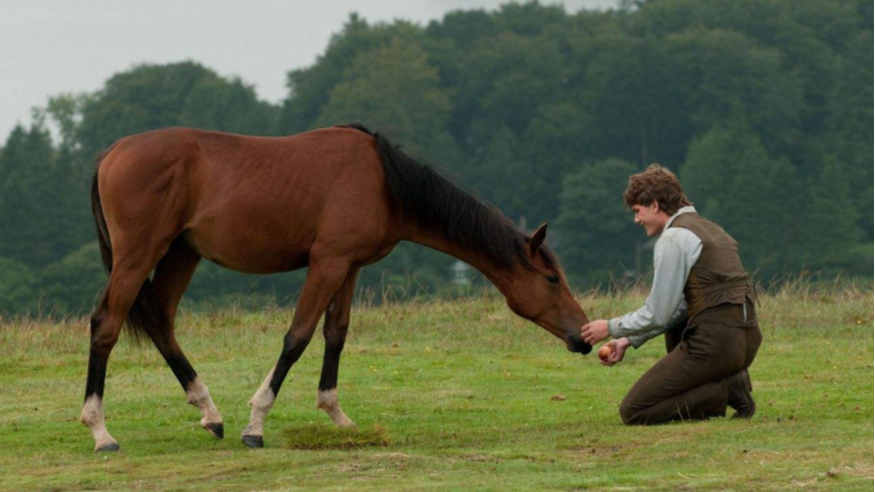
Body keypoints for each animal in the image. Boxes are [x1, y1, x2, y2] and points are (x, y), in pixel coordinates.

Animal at [82, 124, 592, 454]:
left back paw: (209, 412)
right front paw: (257, 423)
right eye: (552, 279)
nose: (584, 336)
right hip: (139, 254)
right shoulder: (327, 263)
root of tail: (111, 153)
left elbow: (336, 335)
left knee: (162, 323)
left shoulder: (349, 267)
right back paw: (100, 430)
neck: (383, 181)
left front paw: (337, 416)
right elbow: (297, 337)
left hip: (180, 254)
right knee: (106, 325)